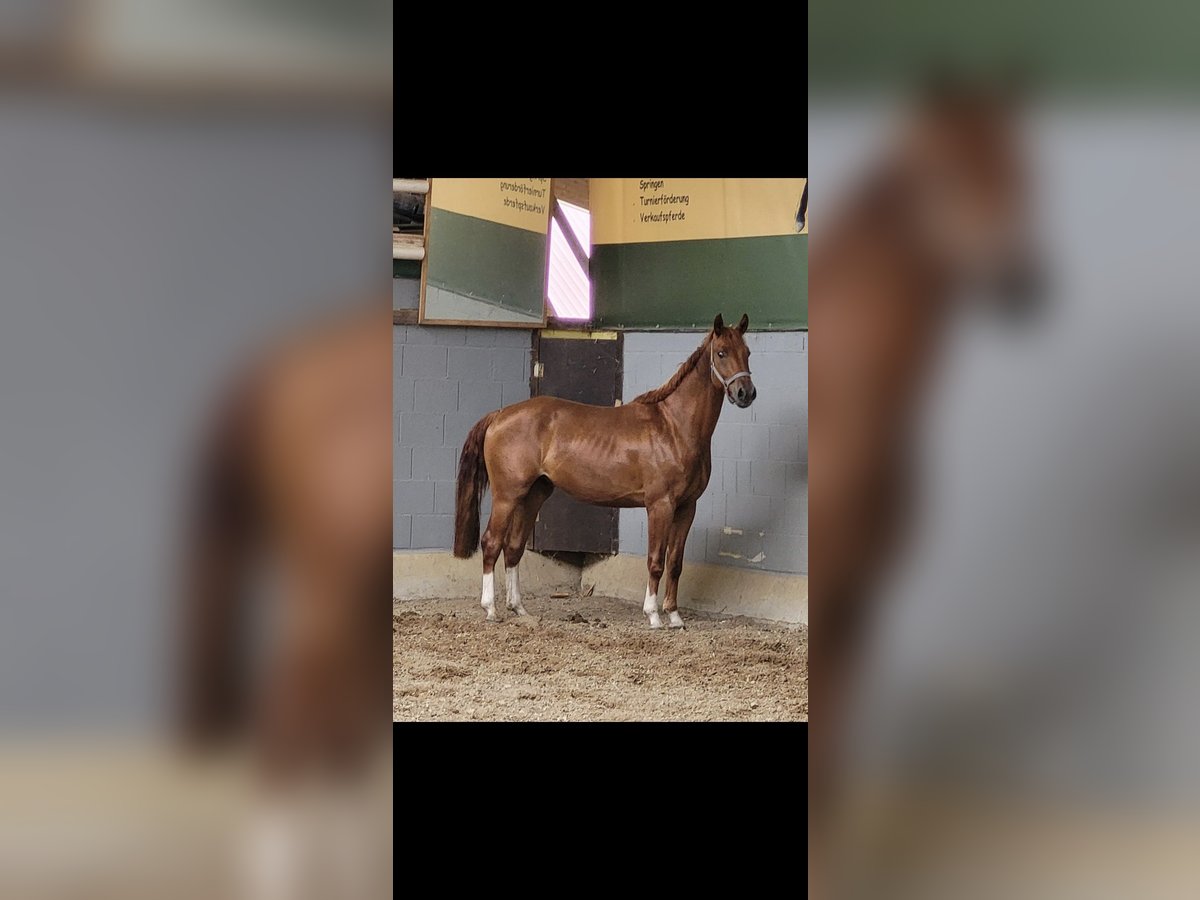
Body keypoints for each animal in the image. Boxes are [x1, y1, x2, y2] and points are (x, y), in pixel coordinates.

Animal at [453, 312, 757, 630]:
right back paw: (490, 609)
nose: (745, 393)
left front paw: (674, 616)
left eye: (747, 352)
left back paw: (520, 609)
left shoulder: (687, 507)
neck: (674, 426)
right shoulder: (660, 506)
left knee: (513, 547)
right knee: (491, 543)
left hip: (533, 495)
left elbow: (675, 563)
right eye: (721, 353)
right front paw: (653, 615)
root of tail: (500, 415)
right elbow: (656, 561)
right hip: (507, 496)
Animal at [809, 79, 1042, 816]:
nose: (1026, 285)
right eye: (944, 174)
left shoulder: (861, 596)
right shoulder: (830, 591)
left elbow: (831, 775)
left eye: (1024, 171)